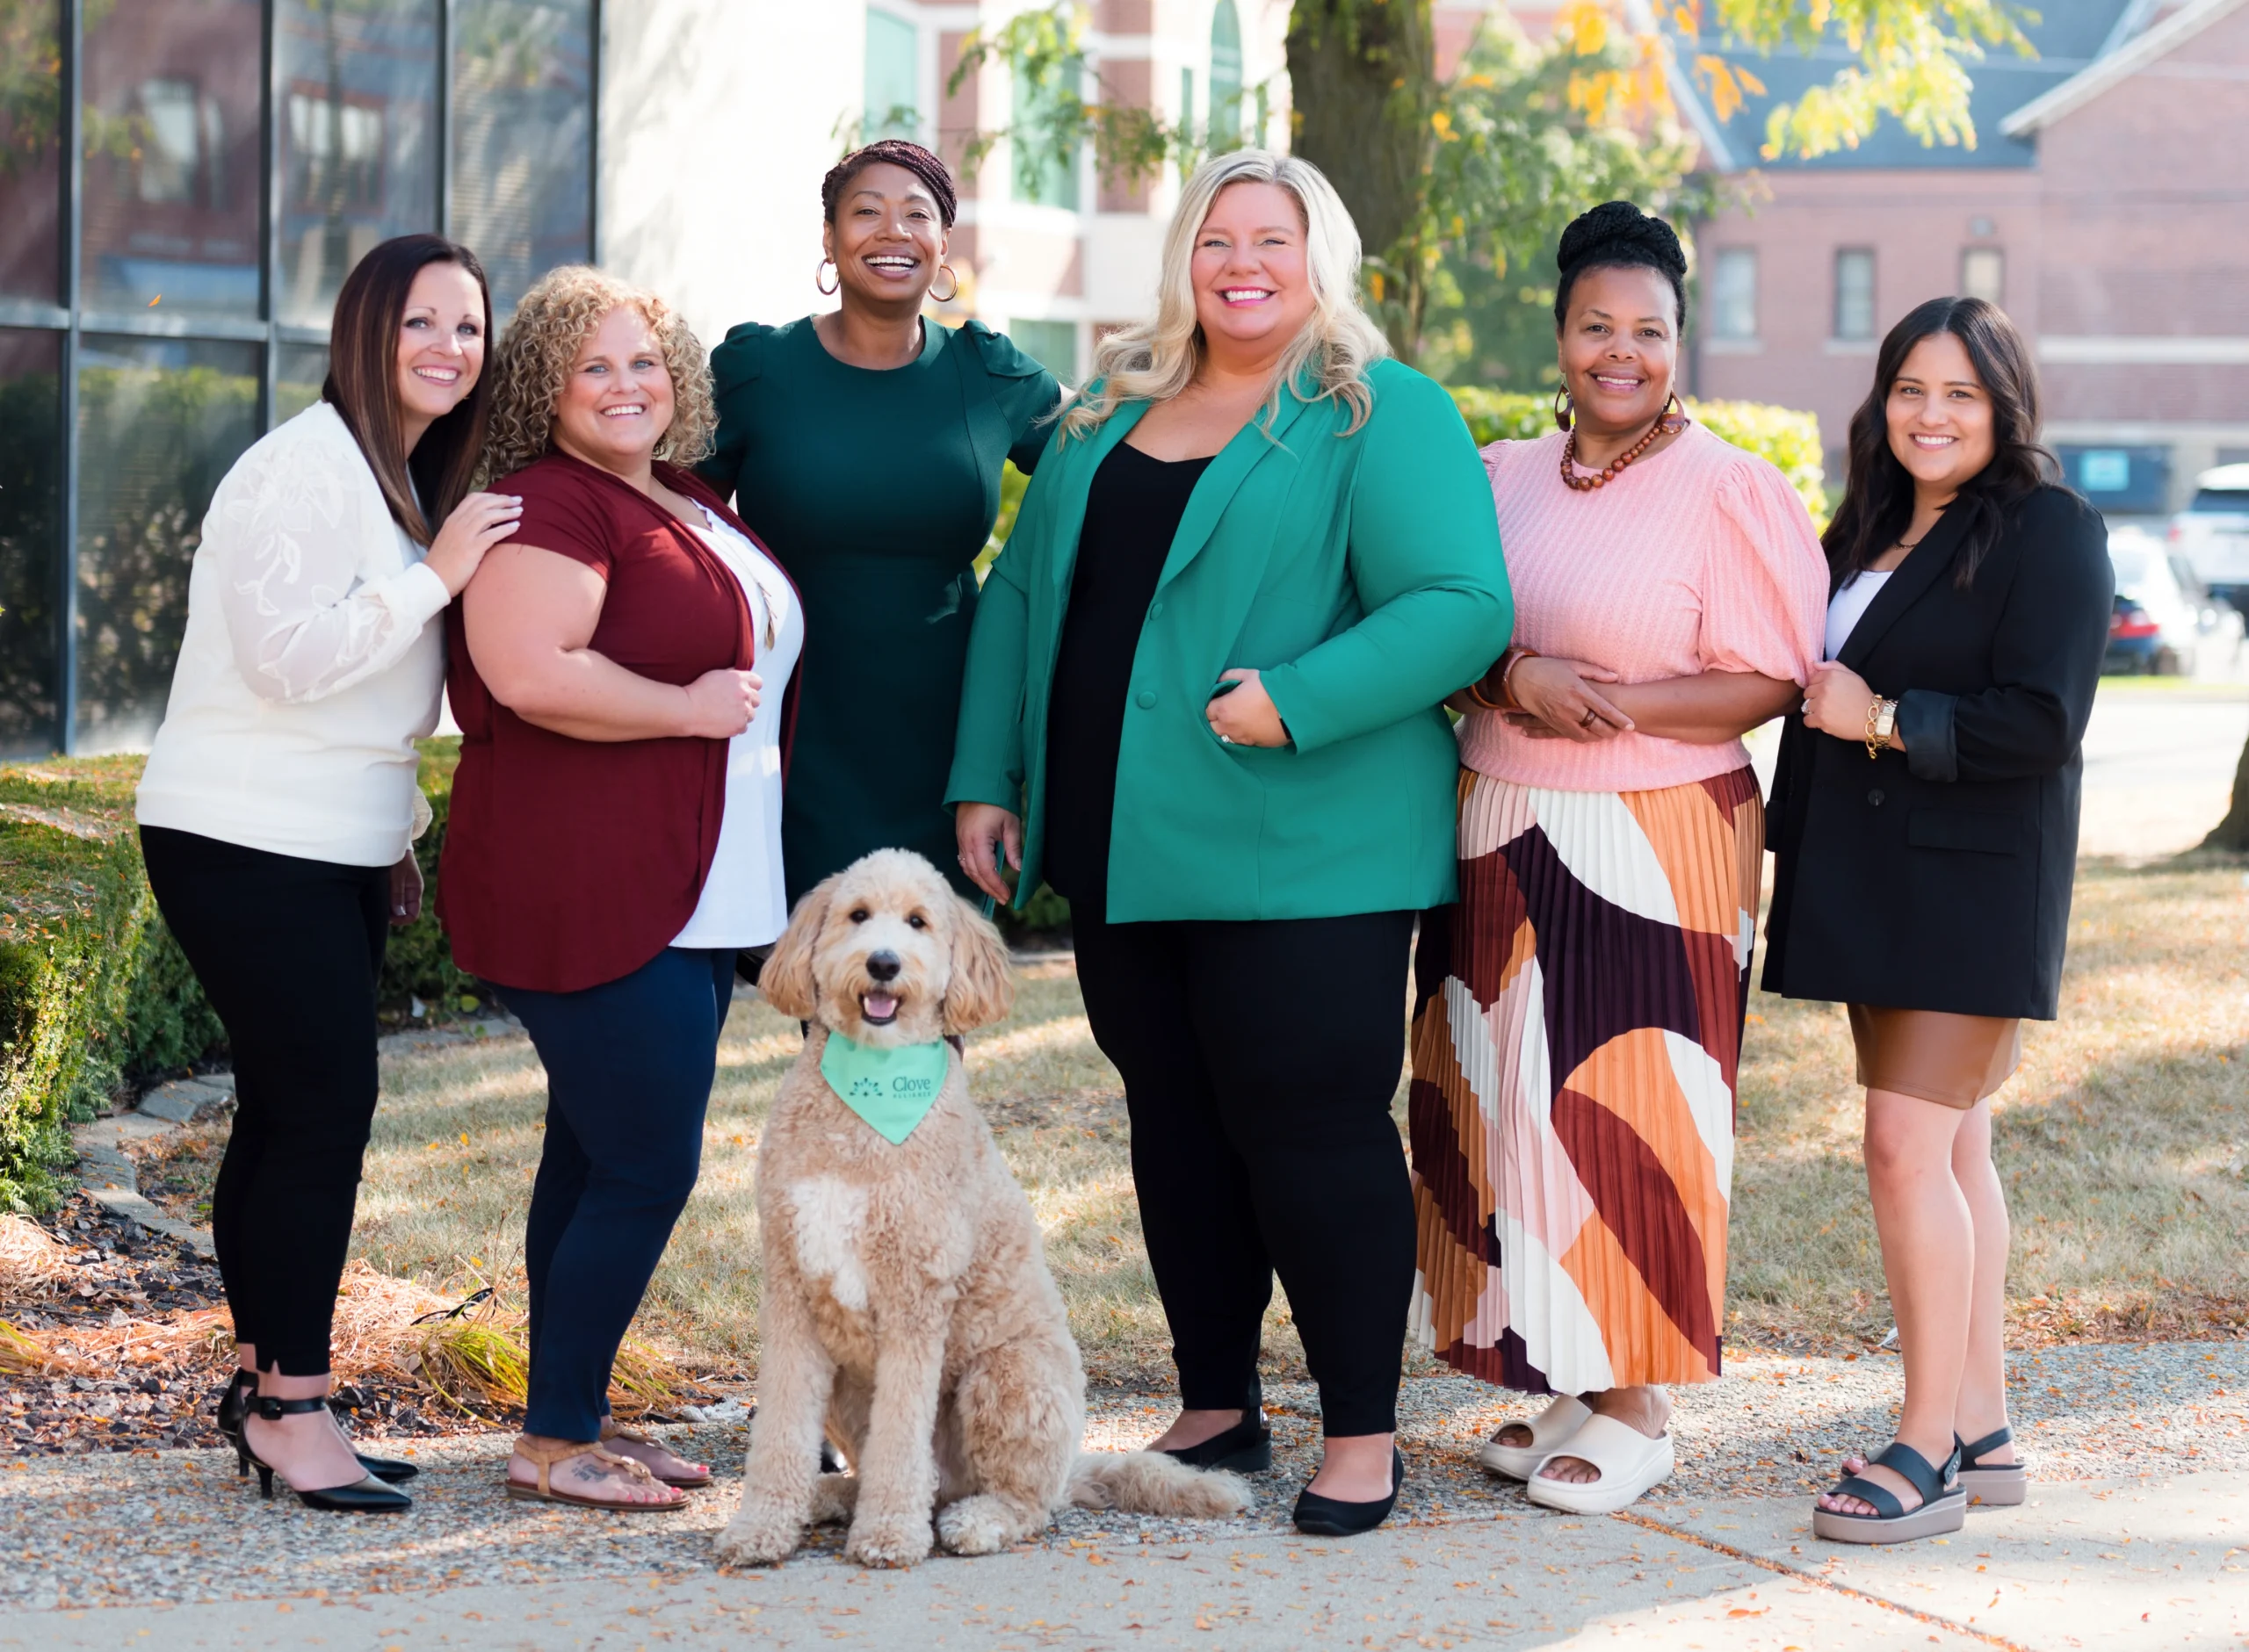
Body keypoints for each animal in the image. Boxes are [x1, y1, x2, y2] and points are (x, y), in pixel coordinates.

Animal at [715, 854, 1259, 1564]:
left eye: (918, 922)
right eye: (857, 914)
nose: (883, 963)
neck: (863, 1113)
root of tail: (1069, 1469)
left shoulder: (915, 1297)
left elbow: (901, 1438)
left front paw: (889, 1534)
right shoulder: (792, 1288)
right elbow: (780, 1428)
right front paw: (761, 1527)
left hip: (1009, 1375)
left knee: (1019, 1501)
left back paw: (974, 1520)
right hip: (848, 1383)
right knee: (912, 1475)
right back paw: (831, 1497)